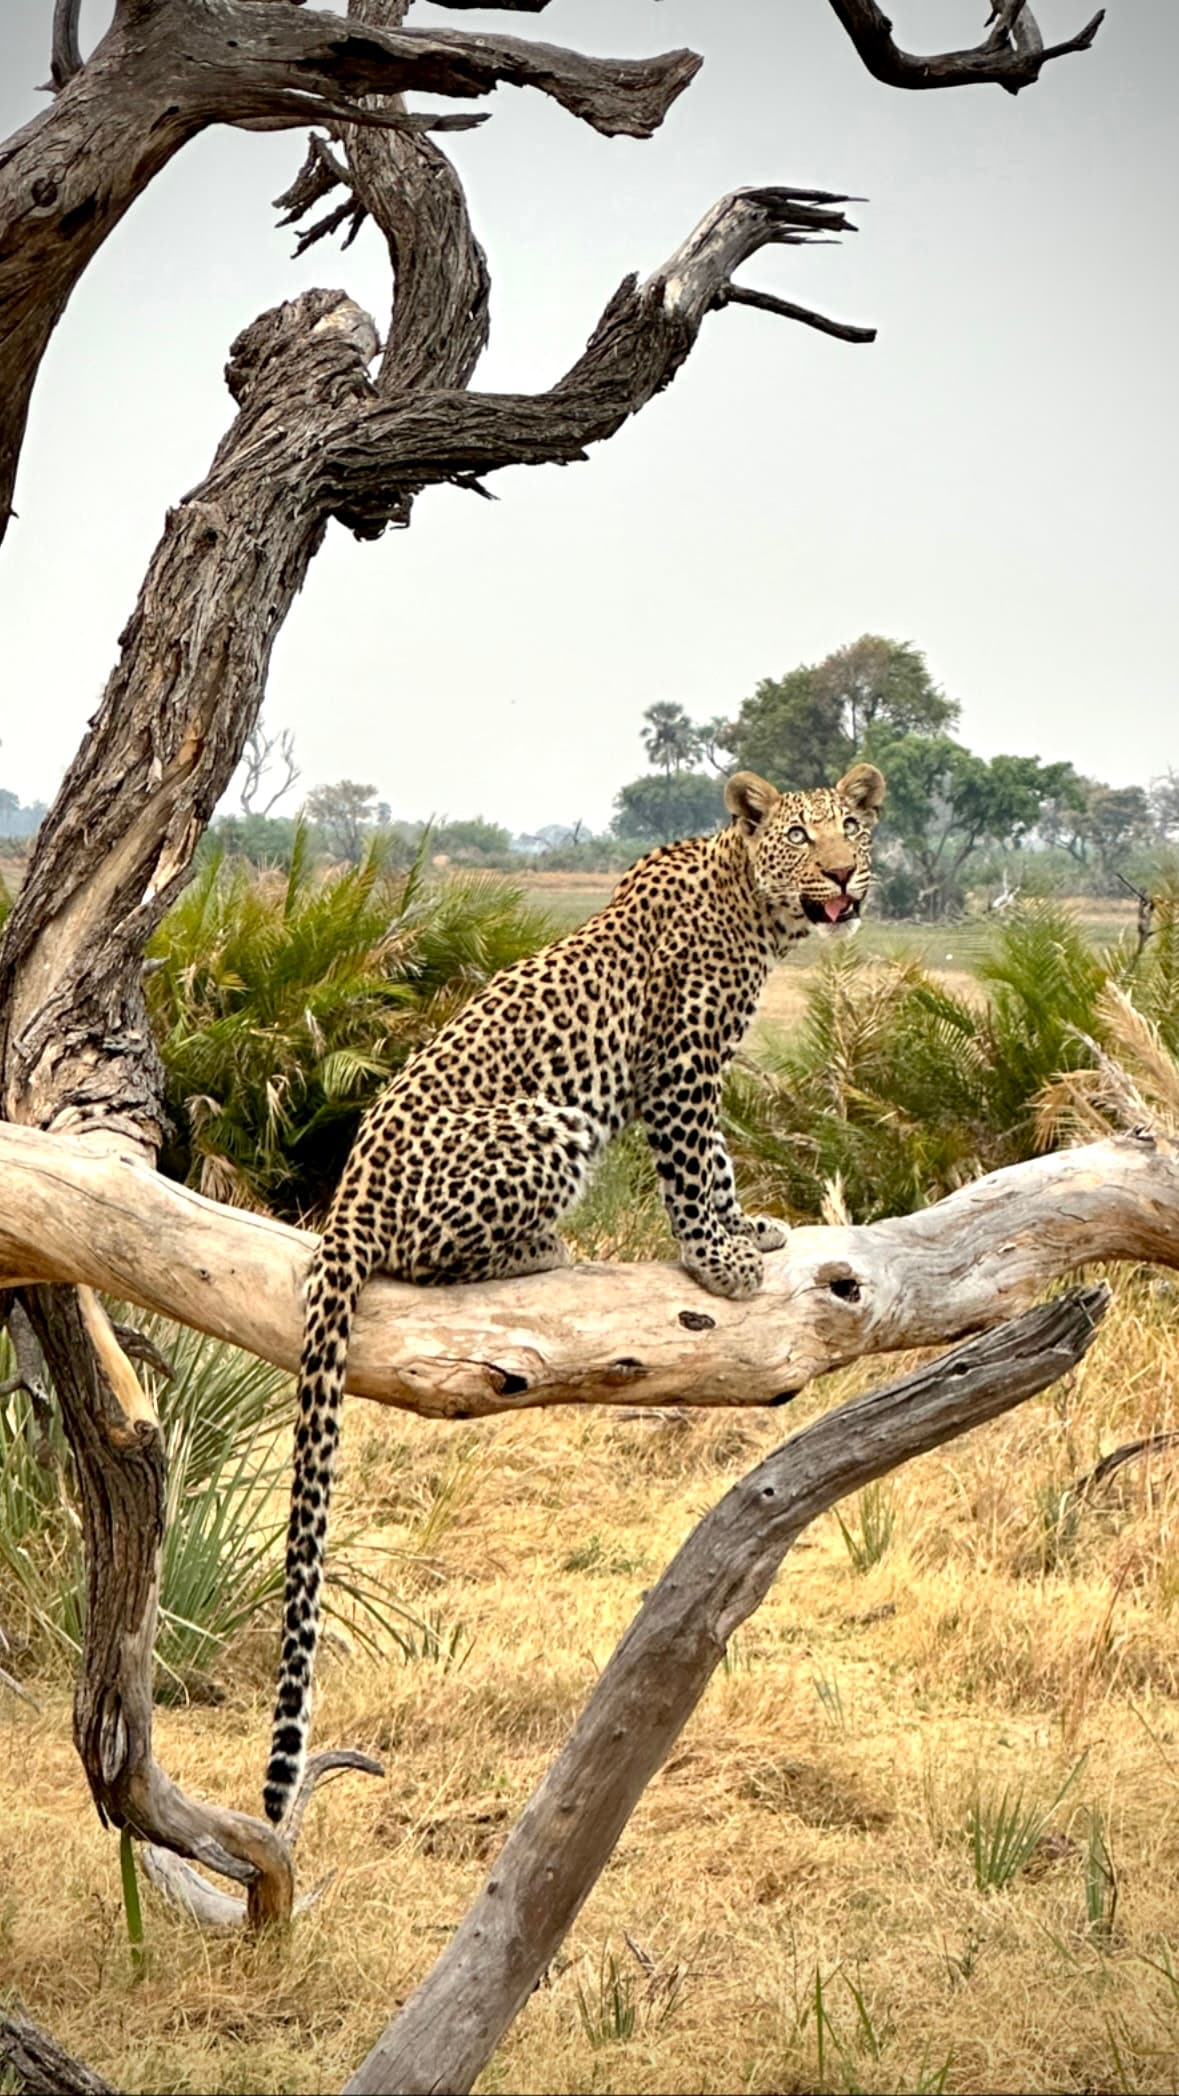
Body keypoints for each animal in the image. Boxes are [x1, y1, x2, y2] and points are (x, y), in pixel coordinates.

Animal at [263, 760, 885, 1824]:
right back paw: (543, 1250)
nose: (843, 872)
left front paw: (750, 1233)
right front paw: (722, 1261)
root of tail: (344, 1207)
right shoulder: (680, 1069)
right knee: (435, 1263)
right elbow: (696, 1169)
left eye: (852, 826)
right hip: (547, 1122)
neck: (750, 907)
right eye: (800, 835)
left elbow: (719, 1170)